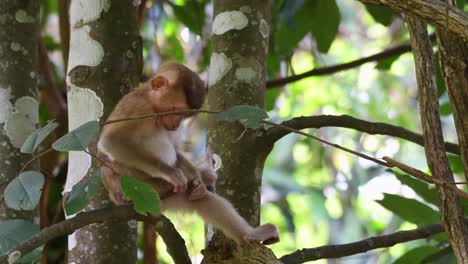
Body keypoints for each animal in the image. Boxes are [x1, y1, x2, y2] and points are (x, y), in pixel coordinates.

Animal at [96, 62, 278, 245]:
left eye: (184, 116)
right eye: (175, 111)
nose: (176, 124)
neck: (152, 105)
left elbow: (176, 151)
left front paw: (197, 178)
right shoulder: (137, 106)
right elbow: (112, 142)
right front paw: (172, 173)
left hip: (162, 199)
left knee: (203, 199)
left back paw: (249, 234)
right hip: (142, 187)